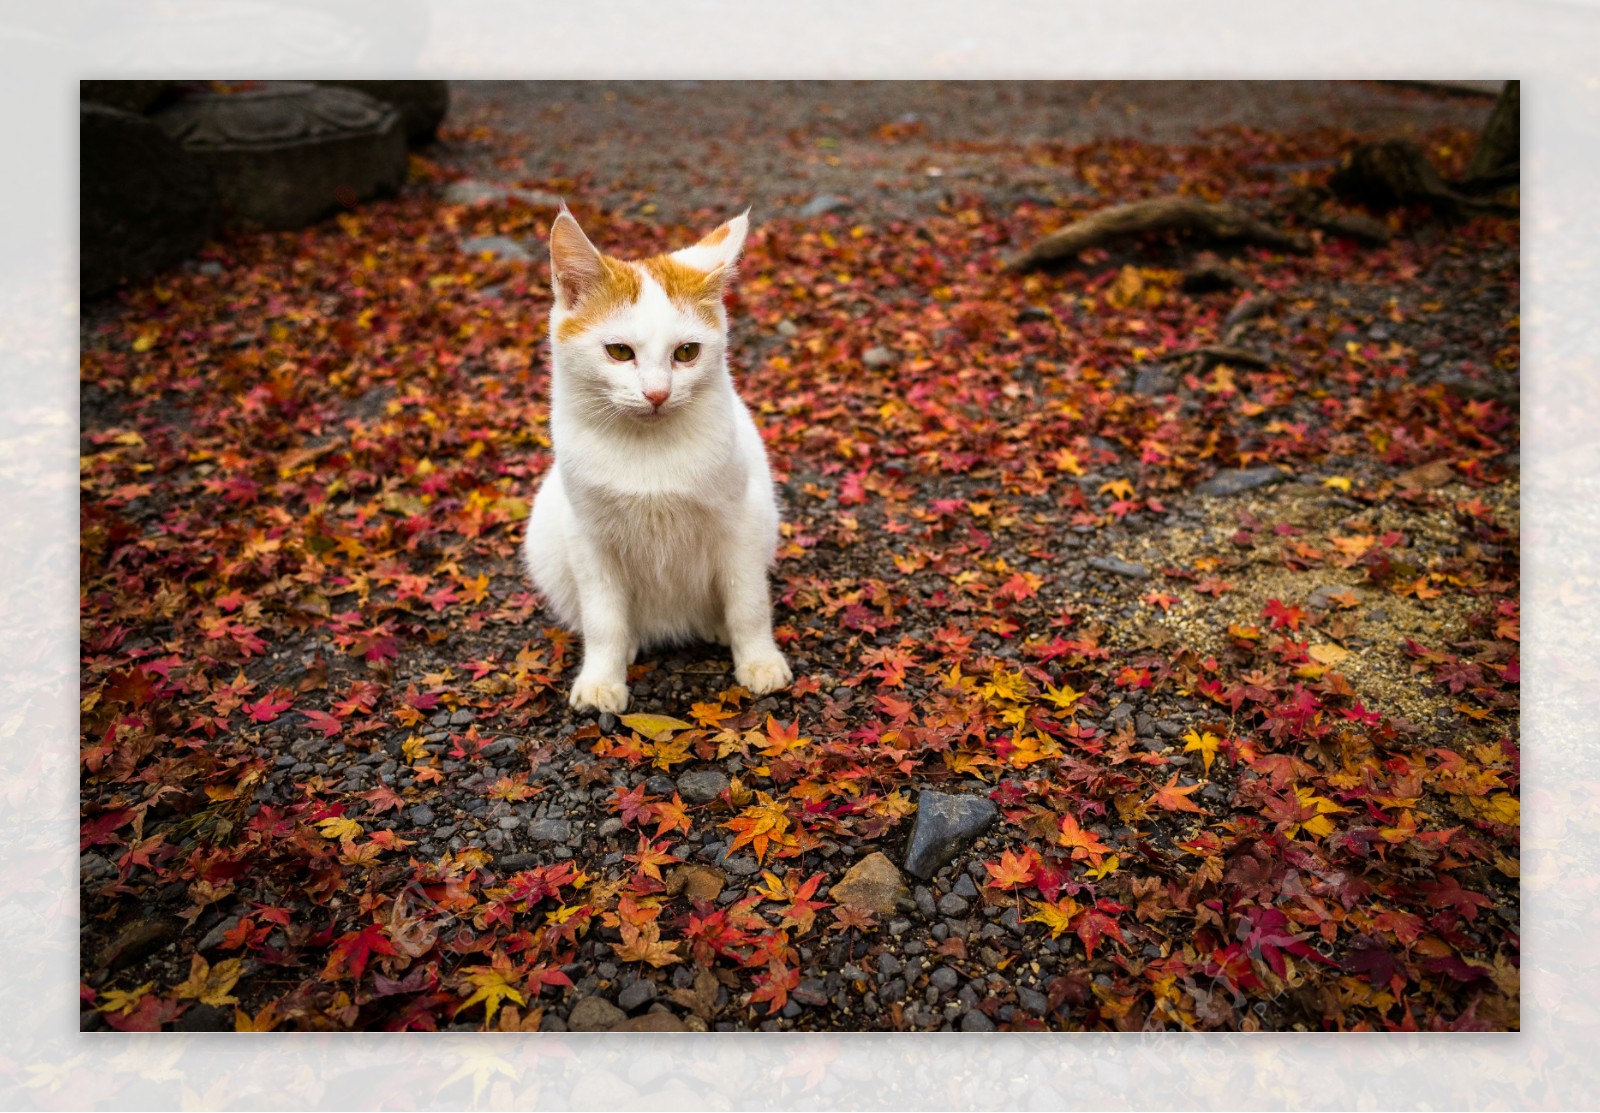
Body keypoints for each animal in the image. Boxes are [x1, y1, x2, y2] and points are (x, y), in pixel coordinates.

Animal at [524, 206, 793, 713]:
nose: (657, 394)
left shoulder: (744, 522)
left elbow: (748, 602)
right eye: (618, 351)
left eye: (687, 352)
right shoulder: (588, 538)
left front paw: (759, 661)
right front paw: (601, 680)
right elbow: (604, 619)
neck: (647, 449)